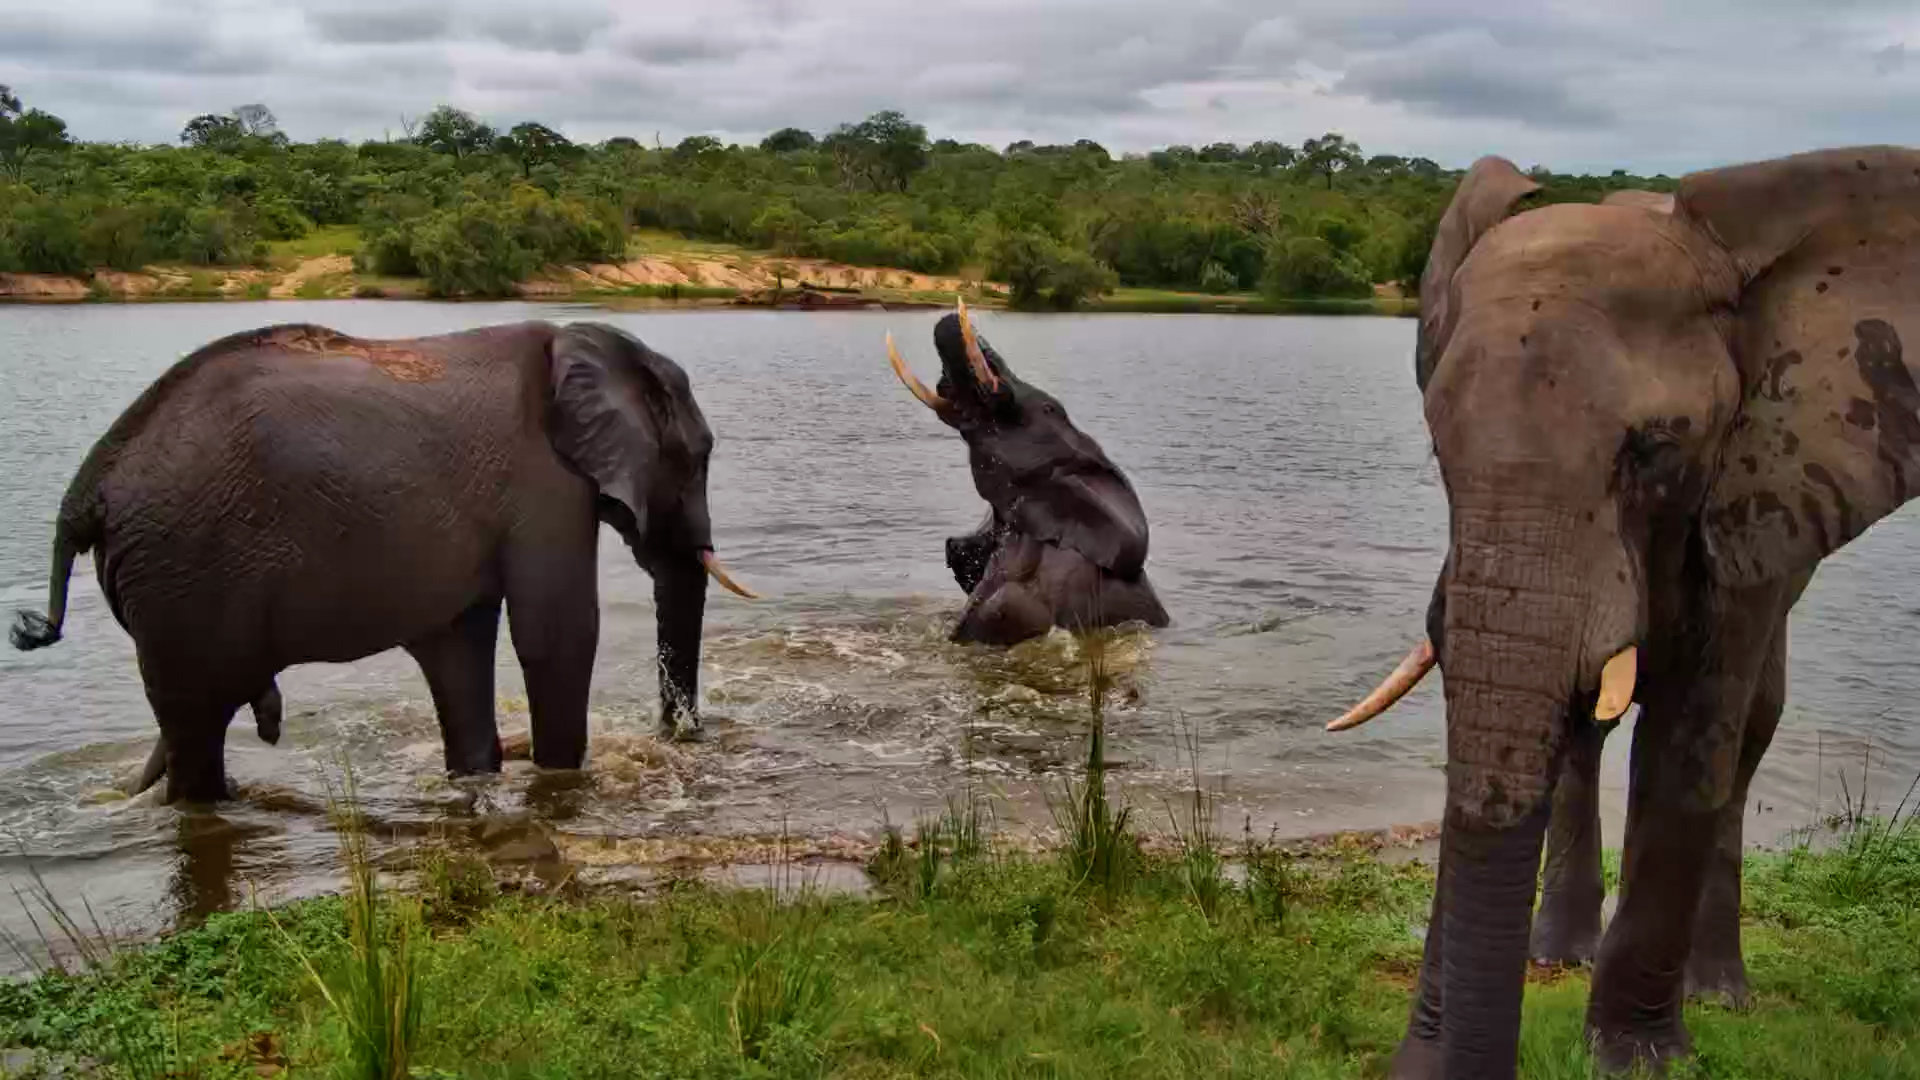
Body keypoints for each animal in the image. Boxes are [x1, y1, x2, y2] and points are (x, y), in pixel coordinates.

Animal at [9, 320, 754, 805]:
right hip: (180, 572)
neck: (585, 342)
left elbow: (458, 643)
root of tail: (88, 489)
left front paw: (476, 782)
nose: (676, 739)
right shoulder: (544, 482)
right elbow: (557, 633)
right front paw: (562, 781)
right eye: (699, 457)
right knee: (195, 727)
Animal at [1323, 144, 1920, 1077]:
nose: (1418, 1059)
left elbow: (1690, 745)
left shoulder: (1751, 497)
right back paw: (1556, 955)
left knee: (1750, 733)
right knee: (1585, 734)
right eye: (1438, 448)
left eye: (1657, 451)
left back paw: (1718, 992)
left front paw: (1639, 1059)